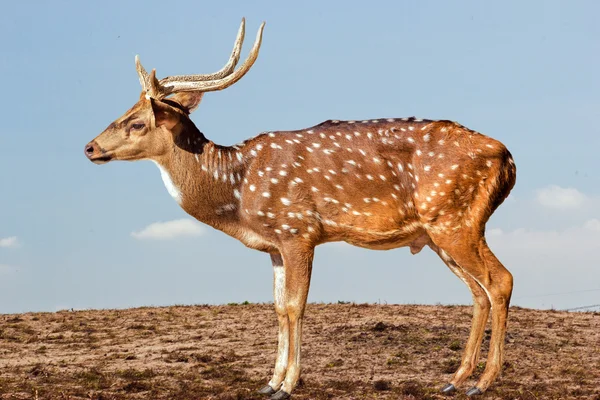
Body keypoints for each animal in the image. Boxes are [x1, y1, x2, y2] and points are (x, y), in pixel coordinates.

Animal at [83, 18, 516, 396]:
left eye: (137, 122)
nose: (89, 147)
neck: (238, 194)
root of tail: (508, 158)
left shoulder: (297, 231)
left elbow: (295, 306)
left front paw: (288, 385)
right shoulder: (274, 247)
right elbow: (277, 308)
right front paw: (269, 381)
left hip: (456, 220)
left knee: (501, 280)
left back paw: (483, 382)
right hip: (438, 234)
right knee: (478, 292)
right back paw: (454, 380)